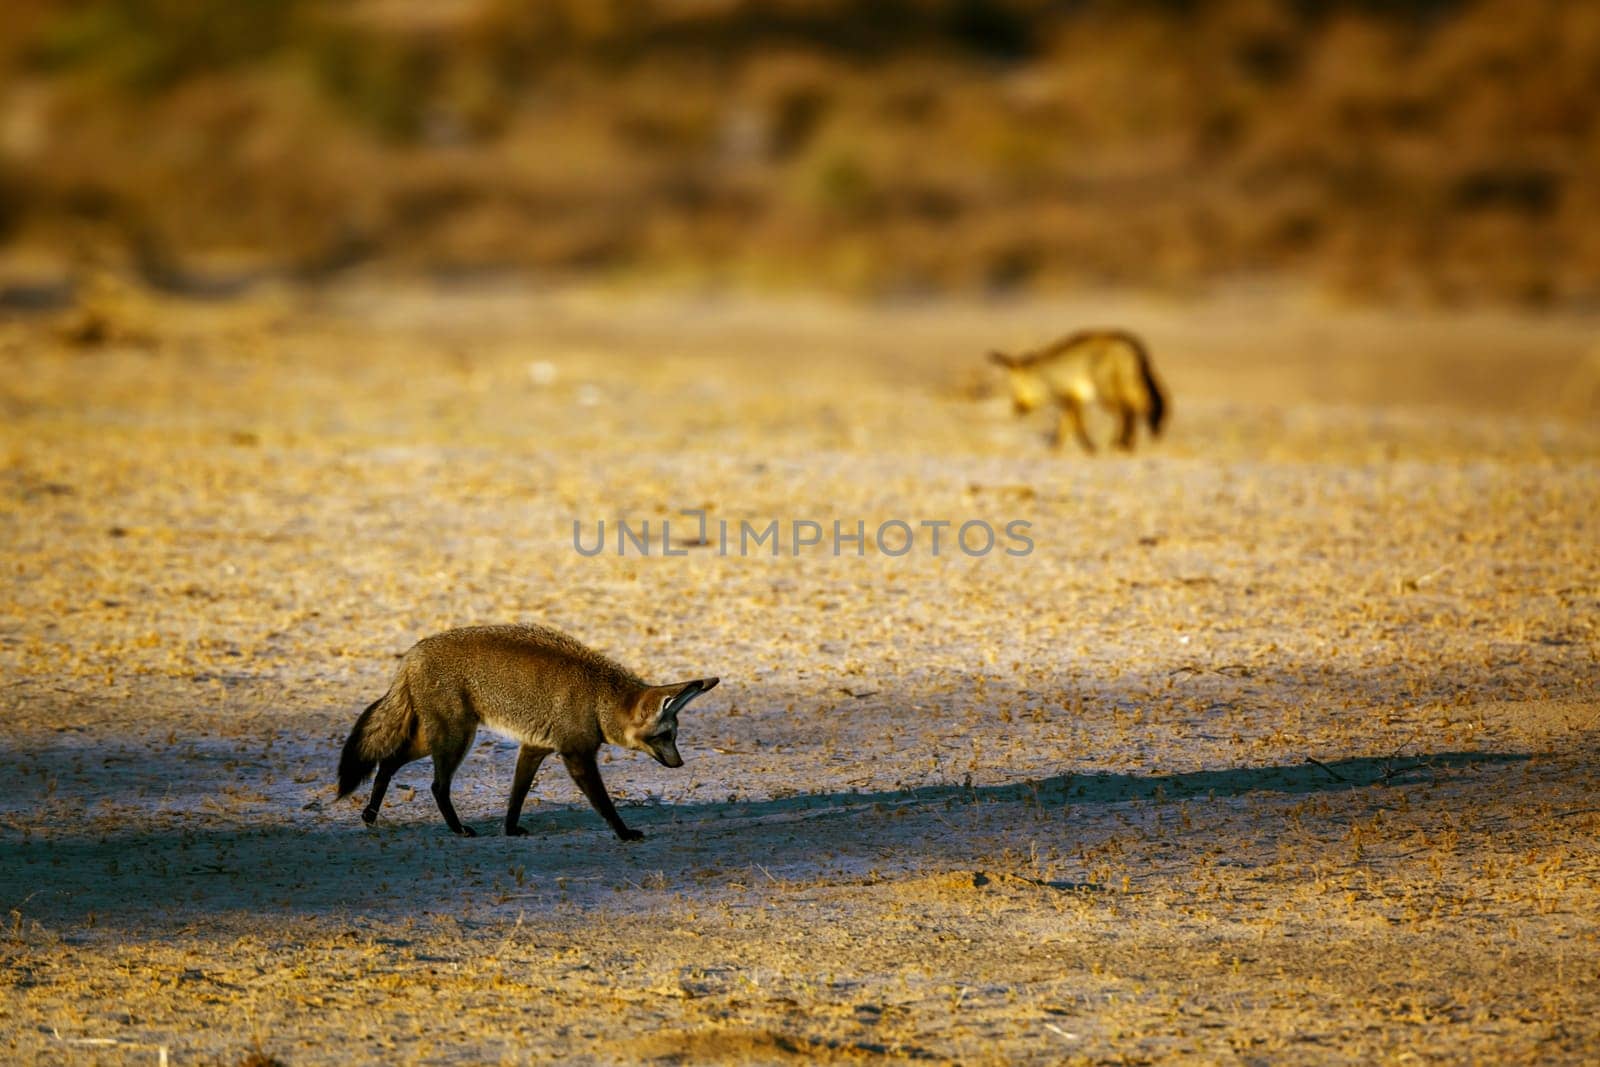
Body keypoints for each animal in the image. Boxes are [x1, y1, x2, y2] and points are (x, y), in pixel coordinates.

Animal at [337, 627, 720, 844]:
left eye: (674, 735)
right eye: (665, 736)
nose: (679, 763)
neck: (599, 699)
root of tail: (411, 654)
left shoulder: (534, 747)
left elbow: (516, 797)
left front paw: (509, 830)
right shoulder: (577, 756)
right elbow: (603, 803)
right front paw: (623, 833)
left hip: (433, 739)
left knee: (388, 762)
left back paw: (370, 815)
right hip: (455, 738)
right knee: (436, 786)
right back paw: (458, 830)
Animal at [985, 329, 1164, 454]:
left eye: (1016, 390)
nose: (1016, 409)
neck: (1046, 377)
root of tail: (1129, 346)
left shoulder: (1068, 398)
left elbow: (1076, 426)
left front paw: (1089, 448)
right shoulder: (1074, 399)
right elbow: (1065, 426)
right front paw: (1055, 448)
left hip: (1106, 395)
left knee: (1127, 411)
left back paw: (1121, 443)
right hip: (1125, 389)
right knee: (1136, 409)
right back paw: (1126, 443)